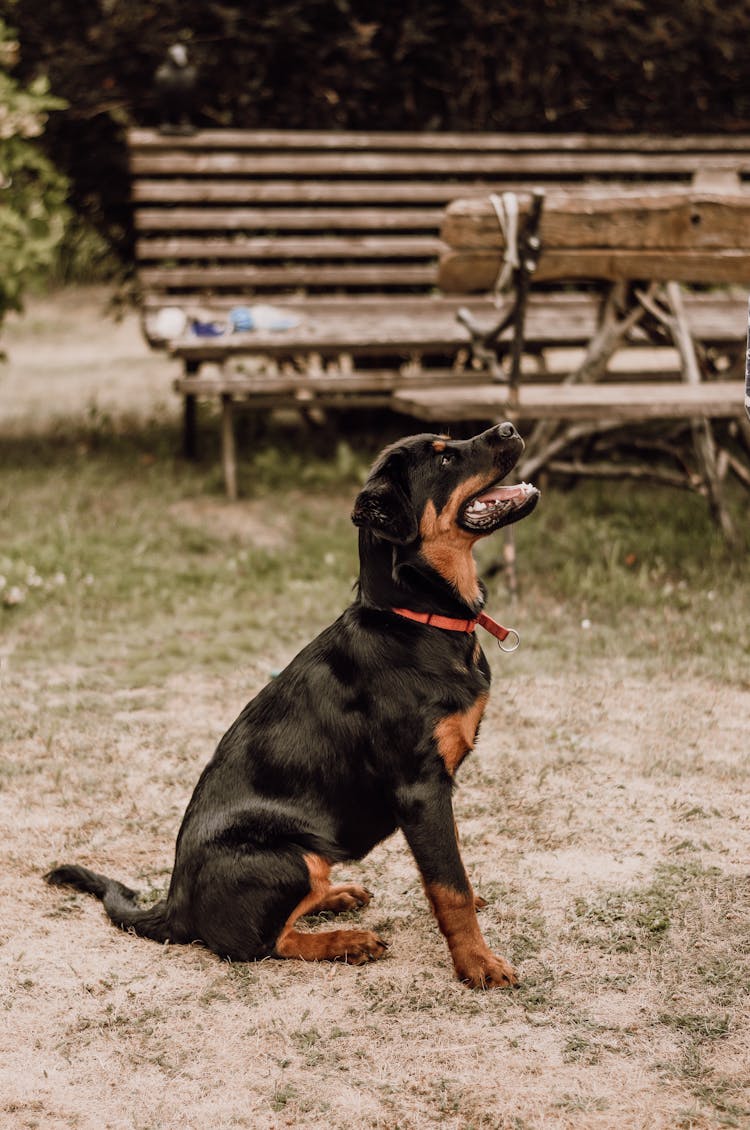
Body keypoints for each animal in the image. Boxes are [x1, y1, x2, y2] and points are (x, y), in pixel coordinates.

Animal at [45, 424, 539, 989]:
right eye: (443, 459)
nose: (509, 427)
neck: (416, 619)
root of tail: (174, 905)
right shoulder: (420, 787)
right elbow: (448, 885)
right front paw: (478, 963)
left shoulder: (439, 789)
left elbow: (450, 866)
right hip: (291, 854)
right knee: (263, 943)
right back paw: (347, 941)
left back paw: (338, 897)